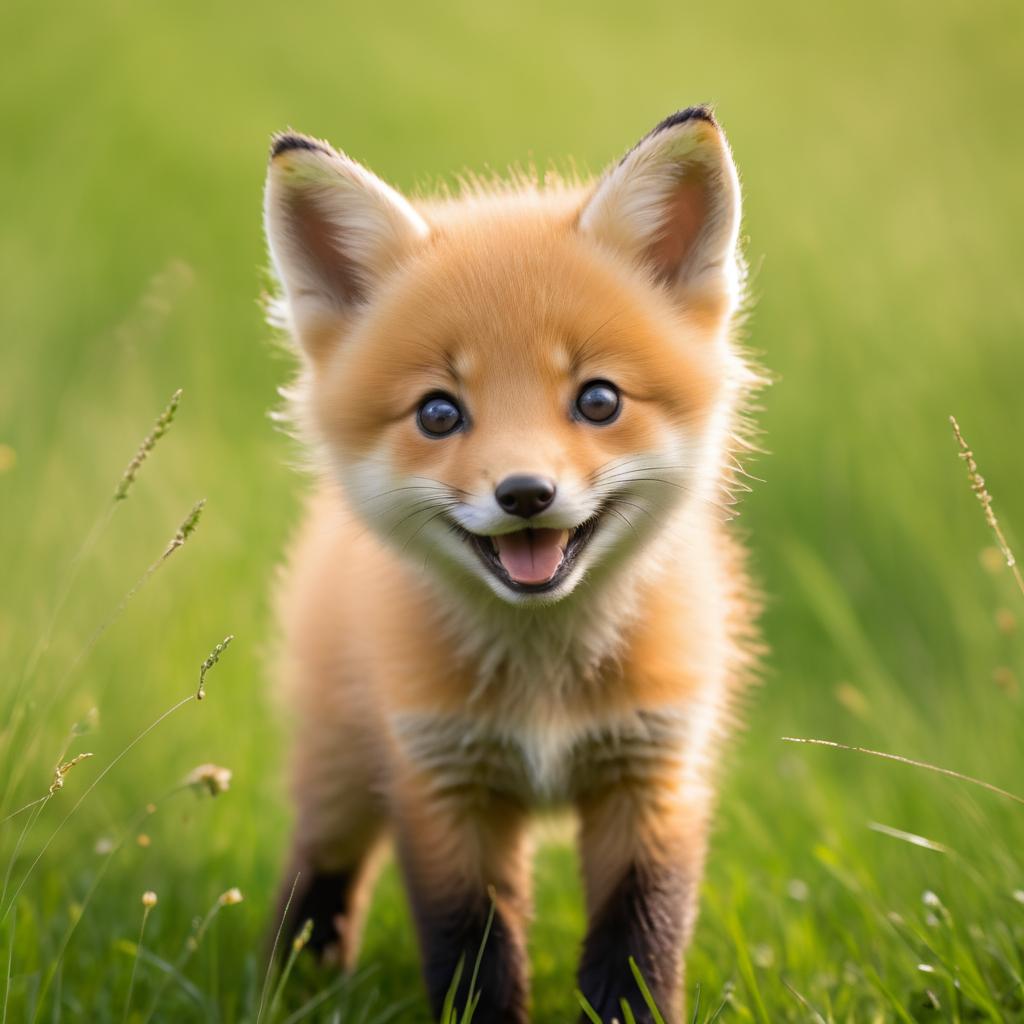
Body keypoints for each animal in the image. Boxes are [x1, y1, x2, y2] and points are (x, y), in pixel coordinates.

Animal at [264, 108, 761, 1019]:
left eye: (598, 400)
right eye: (438, 413)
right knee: (319, 867)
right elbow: (473, 952)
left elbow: (638, 943)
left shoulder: (652, 773)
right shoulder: (443, 782)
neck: (545, 683)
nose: (526, 493)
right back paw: (287, 981)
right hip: (345, 765)